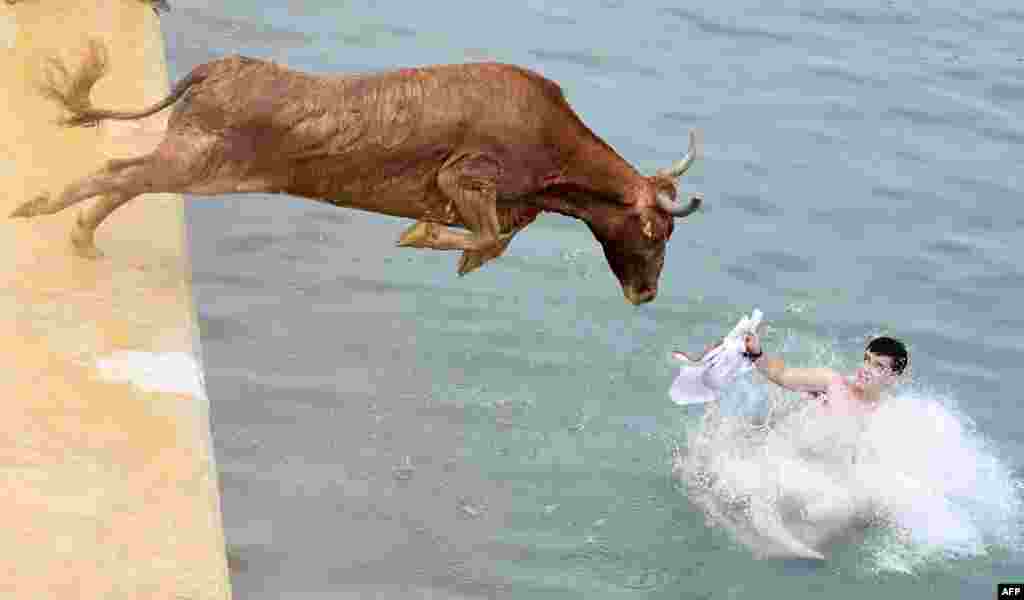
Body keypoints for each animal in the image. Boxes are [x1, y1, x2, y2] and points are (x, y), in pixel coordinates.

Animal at [9, 38, 704, 303]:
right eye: (654, 233)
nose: (646, 293)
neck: (558, 166)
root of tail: (212, 70)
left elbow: (495, 241)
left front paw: (444, 246)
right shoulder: (465, 180)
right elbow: (485, 236)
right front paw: (421, 235)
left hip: (191, 163)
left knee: (125, 176)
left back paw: (73, 230)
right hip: (195, 160)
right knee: (119, 171)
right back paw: (44, 212)